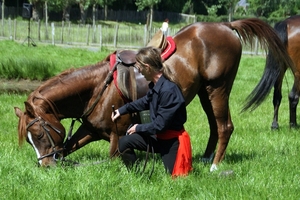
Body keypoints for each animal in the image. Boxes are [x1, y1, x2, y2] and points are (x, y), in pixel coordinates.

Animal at [13, 17, 292, 172]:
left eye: (39, 134)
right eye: (29, 139)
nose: (45, 166)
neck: (98, 89)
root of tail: (226, 25)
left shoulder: (116, 136)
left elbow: (112, 158)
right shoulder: (90, 129)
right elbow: (67, 148)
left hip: (218, 89)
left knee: (225, 126)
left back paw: (215, 165)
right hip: (205, 93)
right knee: (215, 126)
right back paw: (204, 158)